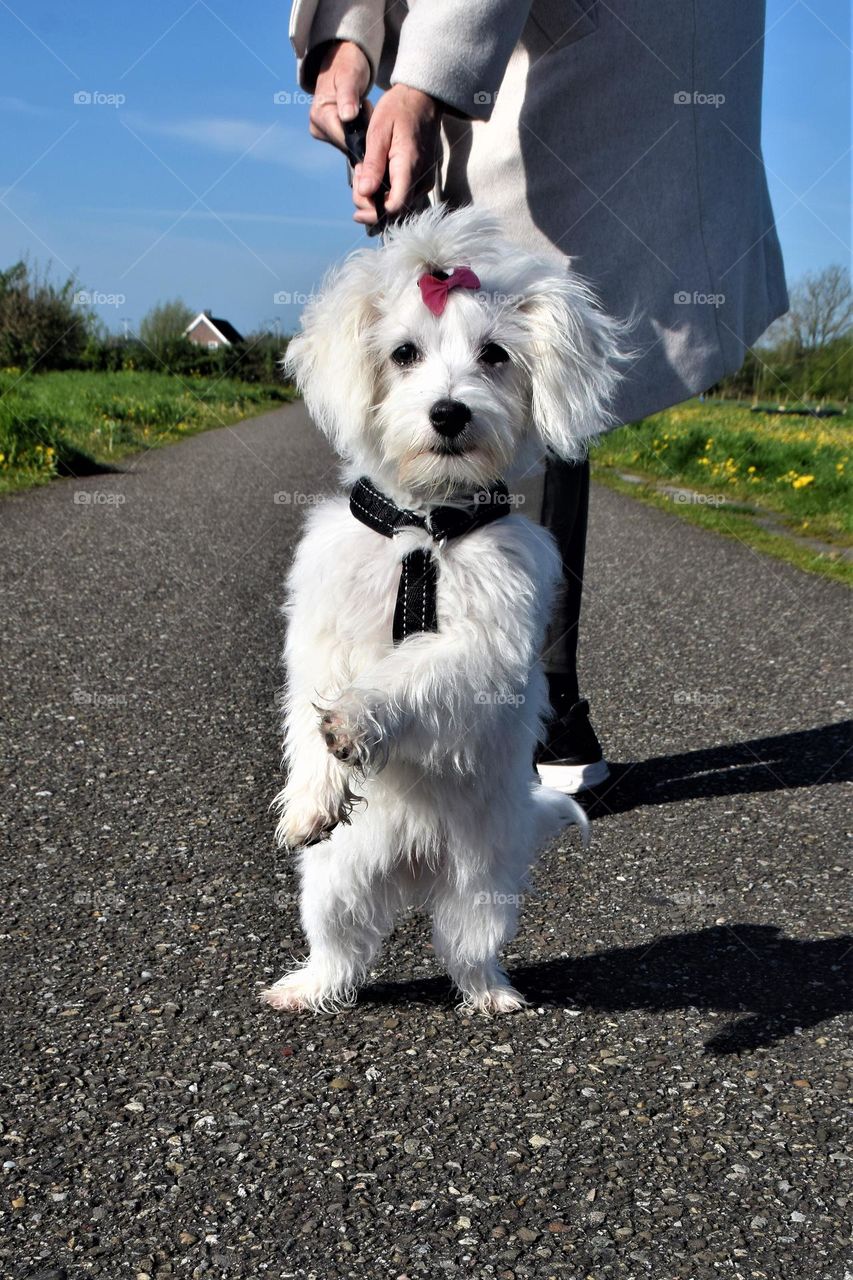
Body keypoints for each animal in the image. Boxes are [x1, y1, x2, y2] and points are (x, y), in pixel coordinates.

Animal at [258, 204, 617, 1013]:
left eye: (494, 355)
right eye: (403, 353)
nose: (449, 413)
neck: (425, 531)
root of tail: (411, 864)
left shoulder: (484, 649)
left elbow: (414, 671)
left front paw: (357, 717)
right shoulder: (319, 636)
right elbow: (308, 708)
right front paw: (310, 794)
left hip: (483, 887)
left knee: (468, 950)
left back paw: (494, 997)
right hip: (331, 886)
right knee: (341, 956)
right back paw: (304, 989)